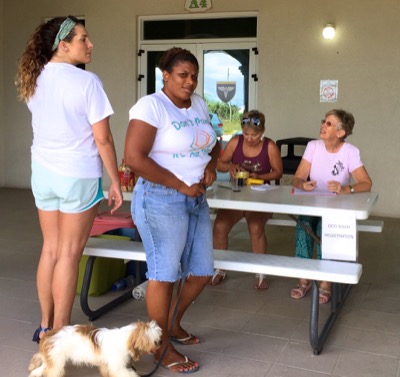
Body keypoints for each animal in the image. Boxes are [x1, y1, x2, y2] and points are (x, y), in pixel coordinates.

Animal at [27, 320, 162, 376]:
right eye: (155, 340)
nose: (160, 343)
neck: (125, 337)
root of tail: (49, 334)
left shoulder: (106, 363)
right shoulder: (117, 365)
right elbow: (126, 373)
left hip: (52, 359)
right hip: (56, 361)